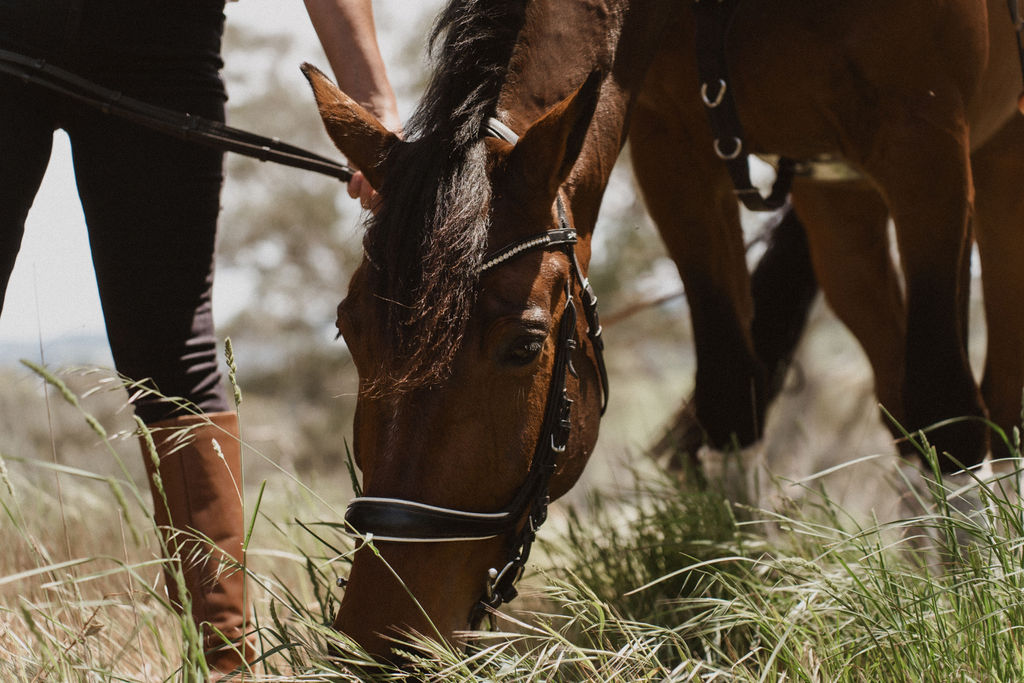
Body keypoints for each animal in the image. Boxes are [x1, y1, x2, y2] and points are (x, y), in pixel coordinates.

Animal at [303, 0, 1024, 663]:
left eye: (526, 345)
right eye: (348, 329)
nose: (378, 635)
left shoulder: (926, 141)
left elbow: (950, 414)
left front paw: (969, 621)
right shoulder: (676, 153)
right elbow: (732, 401)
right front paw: (746, 607)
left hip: (992, 157)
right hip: (838, 203)